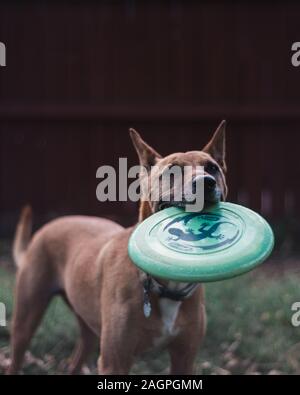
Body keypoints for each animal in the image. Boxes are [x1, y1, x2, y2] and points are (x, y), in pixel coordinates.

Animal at [7, 122, 227, 376]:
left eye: (212, 168)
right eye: (172, 172)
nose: (206, 182)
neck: (165, 283)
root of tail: (47, 227)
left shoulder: (185, 359)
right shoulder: (115, 361)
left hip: (90, 326)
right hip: (25, 320)